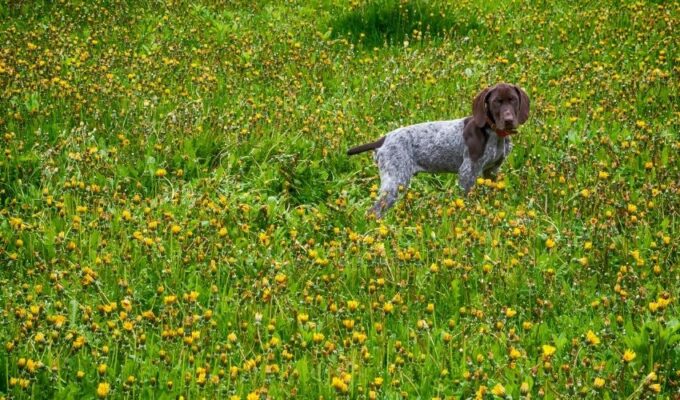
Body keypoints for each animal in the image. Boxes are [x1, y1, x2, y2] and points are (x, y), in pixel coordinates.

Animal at [348, 82, 528, 217]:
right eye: (496, 102)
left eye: (513, 100)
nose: (509, 120)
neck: (494, 133)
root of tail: (383, 139)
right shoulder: (467, 172)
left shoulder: (492, 171)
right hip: (395, 181)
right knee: (374, 212)